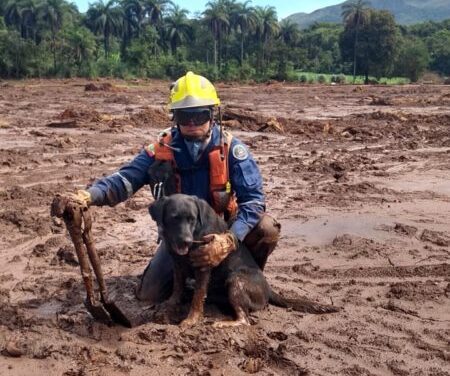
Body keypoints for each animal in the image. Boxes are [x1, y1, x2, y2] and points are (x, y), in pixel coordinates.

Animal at [149, 194, 340, 326]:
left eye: (192, 219)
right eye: (174, 218)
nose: (187, 241)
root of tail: (268, 289)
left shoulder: (203, 267)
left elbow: (198, 296)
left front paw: (191, 320)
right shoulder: (177, 264)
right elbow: (177, 286)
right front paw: (171, 303)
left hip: (236, 282)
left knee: (245, 320)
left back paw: (225, 323)